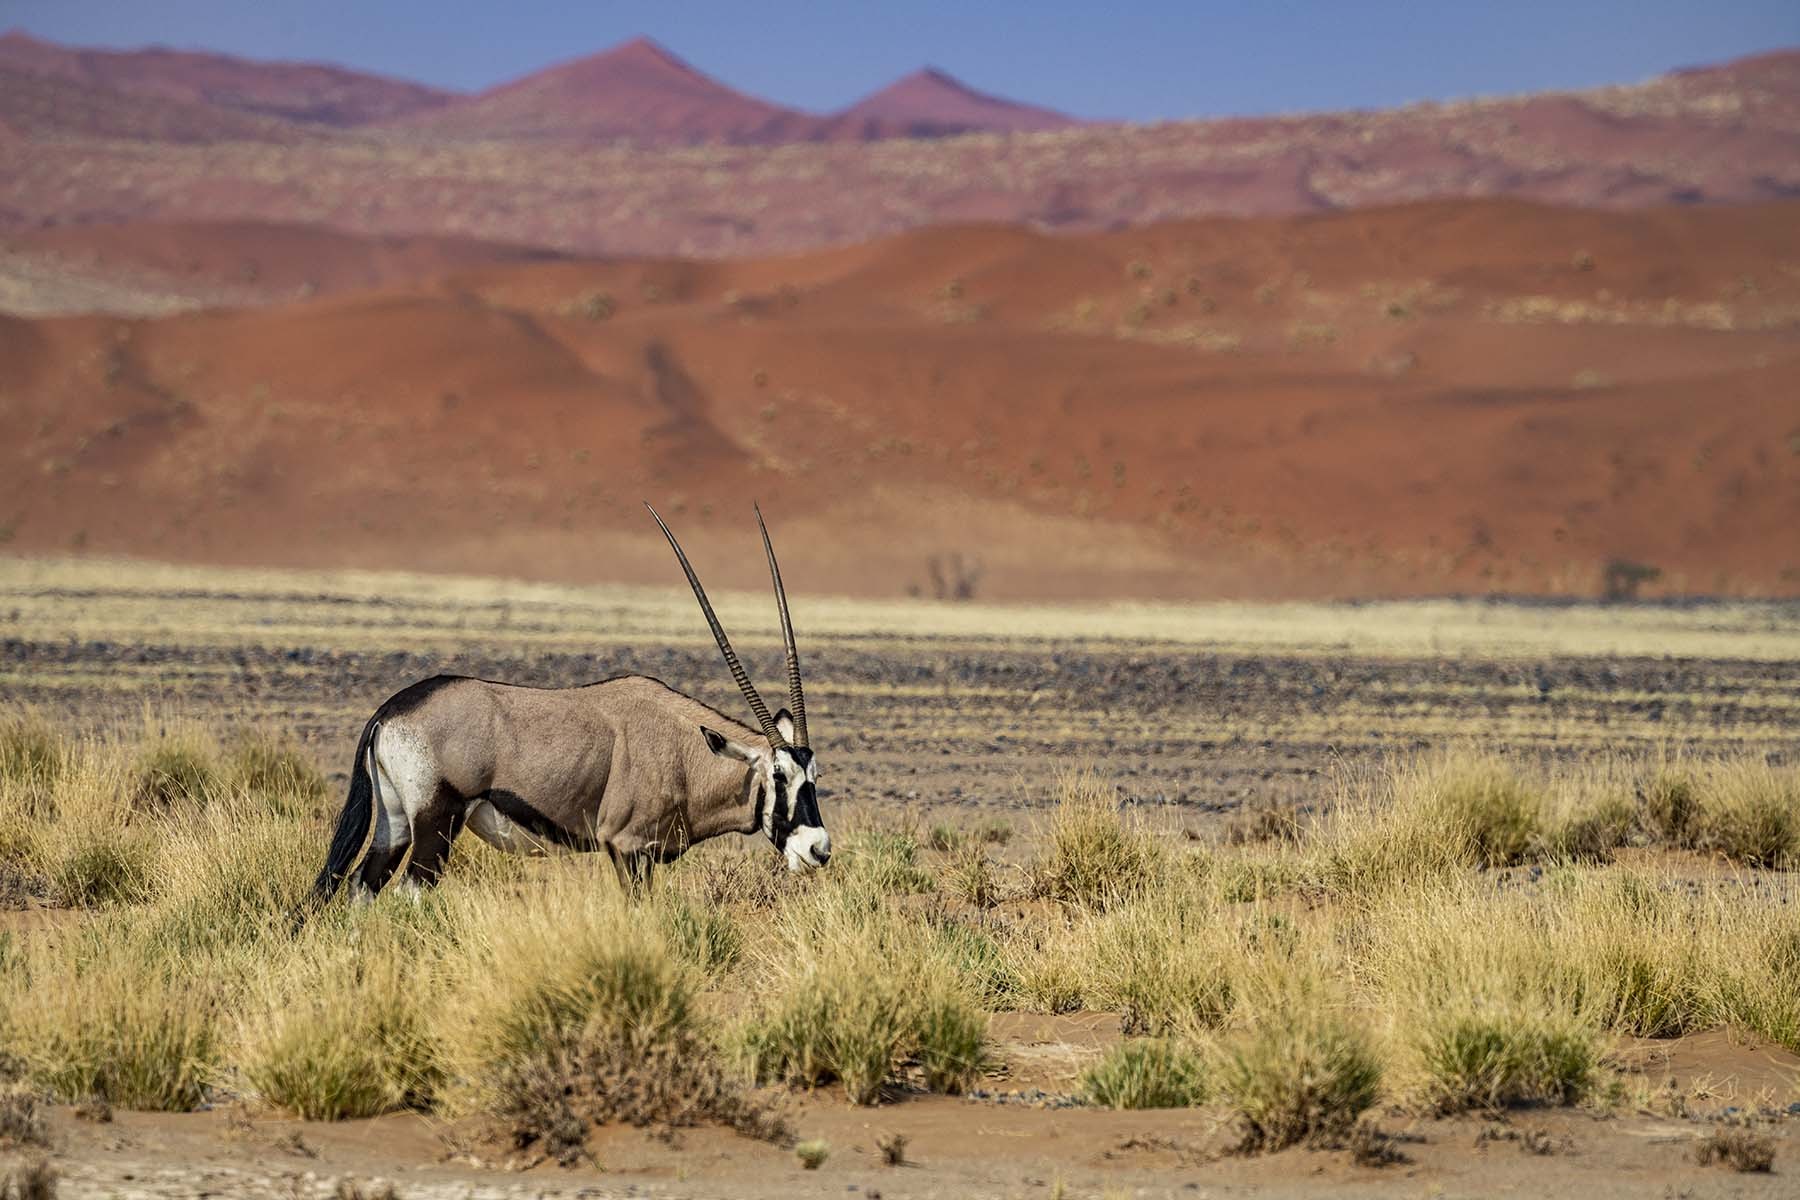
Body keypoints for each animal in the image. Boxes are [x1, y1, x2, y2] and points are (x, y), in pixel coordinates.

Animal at [304, 503, 828, 907]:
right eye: (778, 775)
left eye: (814, 776)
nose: (818, 849)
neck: (684, 751)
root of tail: (390, 711)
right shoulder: (627, 848)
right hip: (436, 825)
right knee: (407, 894)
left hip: (394, 823)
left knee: (361, 886)